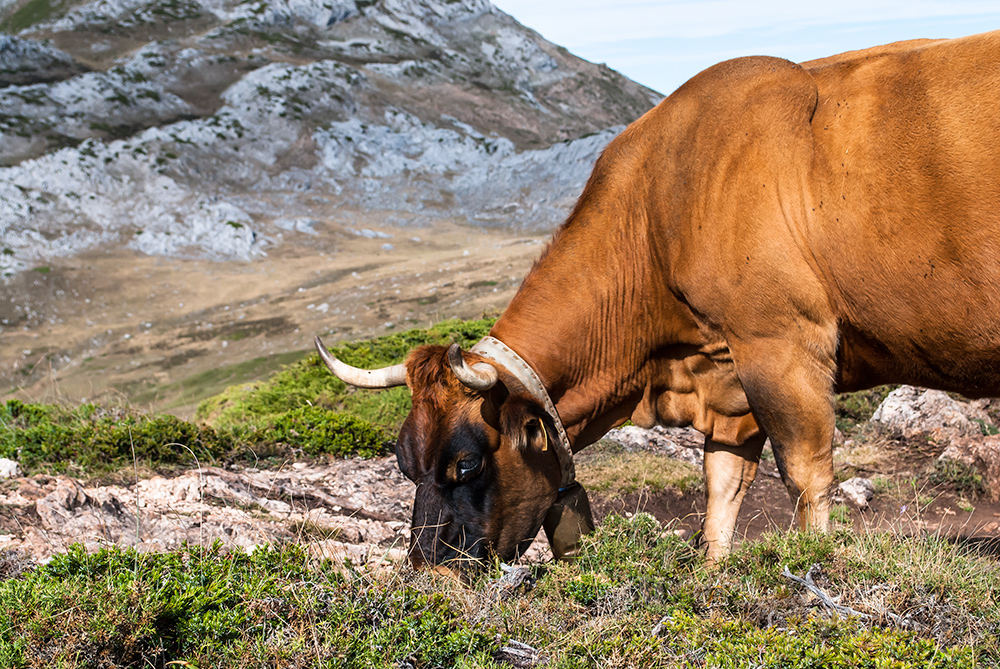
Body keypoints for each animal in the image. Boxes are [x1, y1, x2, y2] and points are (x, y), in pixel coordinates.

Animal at [316, 30, 1000, 564]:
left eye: (468, 464)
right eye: (402, 461)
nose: (430, 566)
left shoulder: (781, 343)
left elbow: (804, 475)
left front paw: (817, 567)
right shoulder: (729, 382)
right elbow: (721, 488)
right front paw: (715, 577)